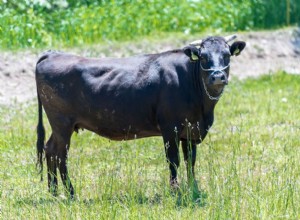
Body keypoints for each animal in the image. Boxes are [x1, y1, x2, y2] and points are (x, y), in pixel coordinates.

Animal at [35, 35, 246, 197]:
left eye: (227, 55)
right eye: (203, 57)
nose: (217, 76)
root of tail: (53, 54)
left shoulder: (191, 130)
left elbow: (190, 161)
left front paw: (193, 189)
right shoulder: (170, 128)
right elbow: (173, 160)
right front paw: (175, 191)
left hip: (61, 126)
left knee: (50, 150)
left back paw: (54, 191)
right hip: (62, 123)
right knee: (60, 155)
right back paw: (70, 192)